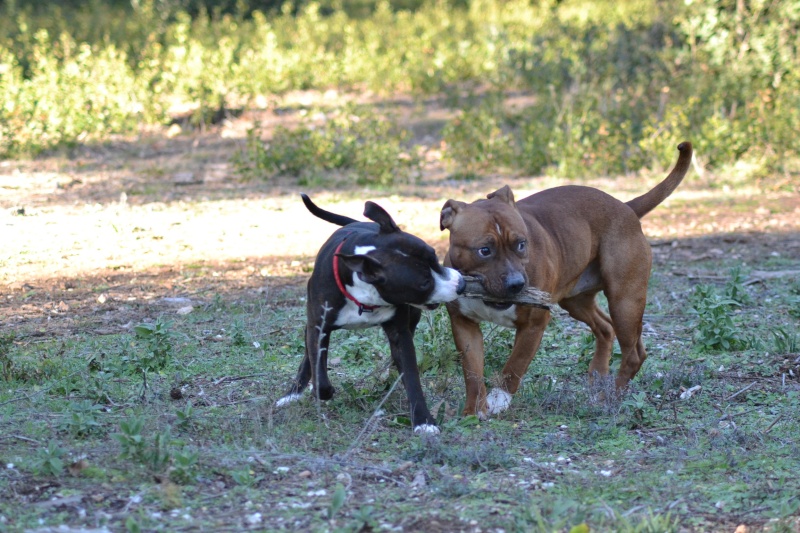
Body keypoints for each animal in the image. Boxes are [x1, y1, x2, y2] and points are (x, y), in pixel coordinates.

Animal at [276, 193, 466, 434]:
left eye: (433, 256)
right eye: (424, 283)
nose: (461, 284)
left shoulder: (400, 335)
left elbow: (411, 376)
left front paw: (424, 421)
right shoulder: (319, 327)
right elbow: (319, 373)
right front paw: (323, 390)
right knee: (309, 356)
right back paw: (293, 393)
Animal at [440, 143, 692, 418]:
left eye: (521, 244)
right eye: (484, 250)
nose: (517, 284)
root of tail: (626, 207)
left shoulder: (534, 325)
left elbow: (514, 365)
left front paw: (499, 399)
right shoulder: (464, 325)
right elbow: (472, 372)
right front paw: (473, 410)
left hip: (624, 301)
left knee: (633, 353)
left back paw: (609, 397)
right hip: (576, 301)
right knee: (606, 327)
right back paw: (598, 376)